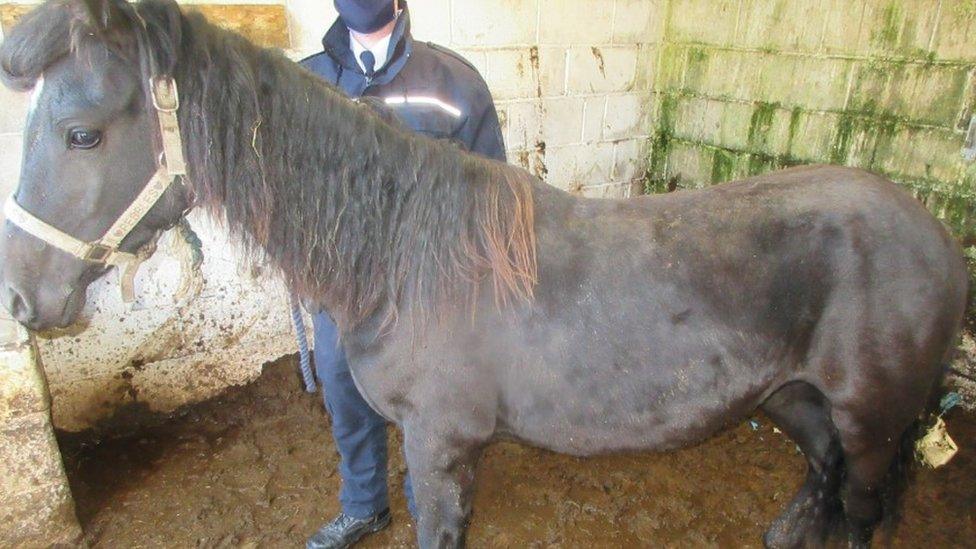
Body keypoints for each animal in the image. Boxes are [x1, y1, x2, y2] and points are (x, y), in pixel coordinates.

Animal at [0, 2, 968, 544]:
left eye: (81, 132)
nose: (20, 296)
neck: (401, 255)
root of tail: (935, 236)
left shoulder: (441, 443)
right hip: (791, 396)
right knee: (822, 475)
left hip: (871, 417)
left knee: (862, 505)